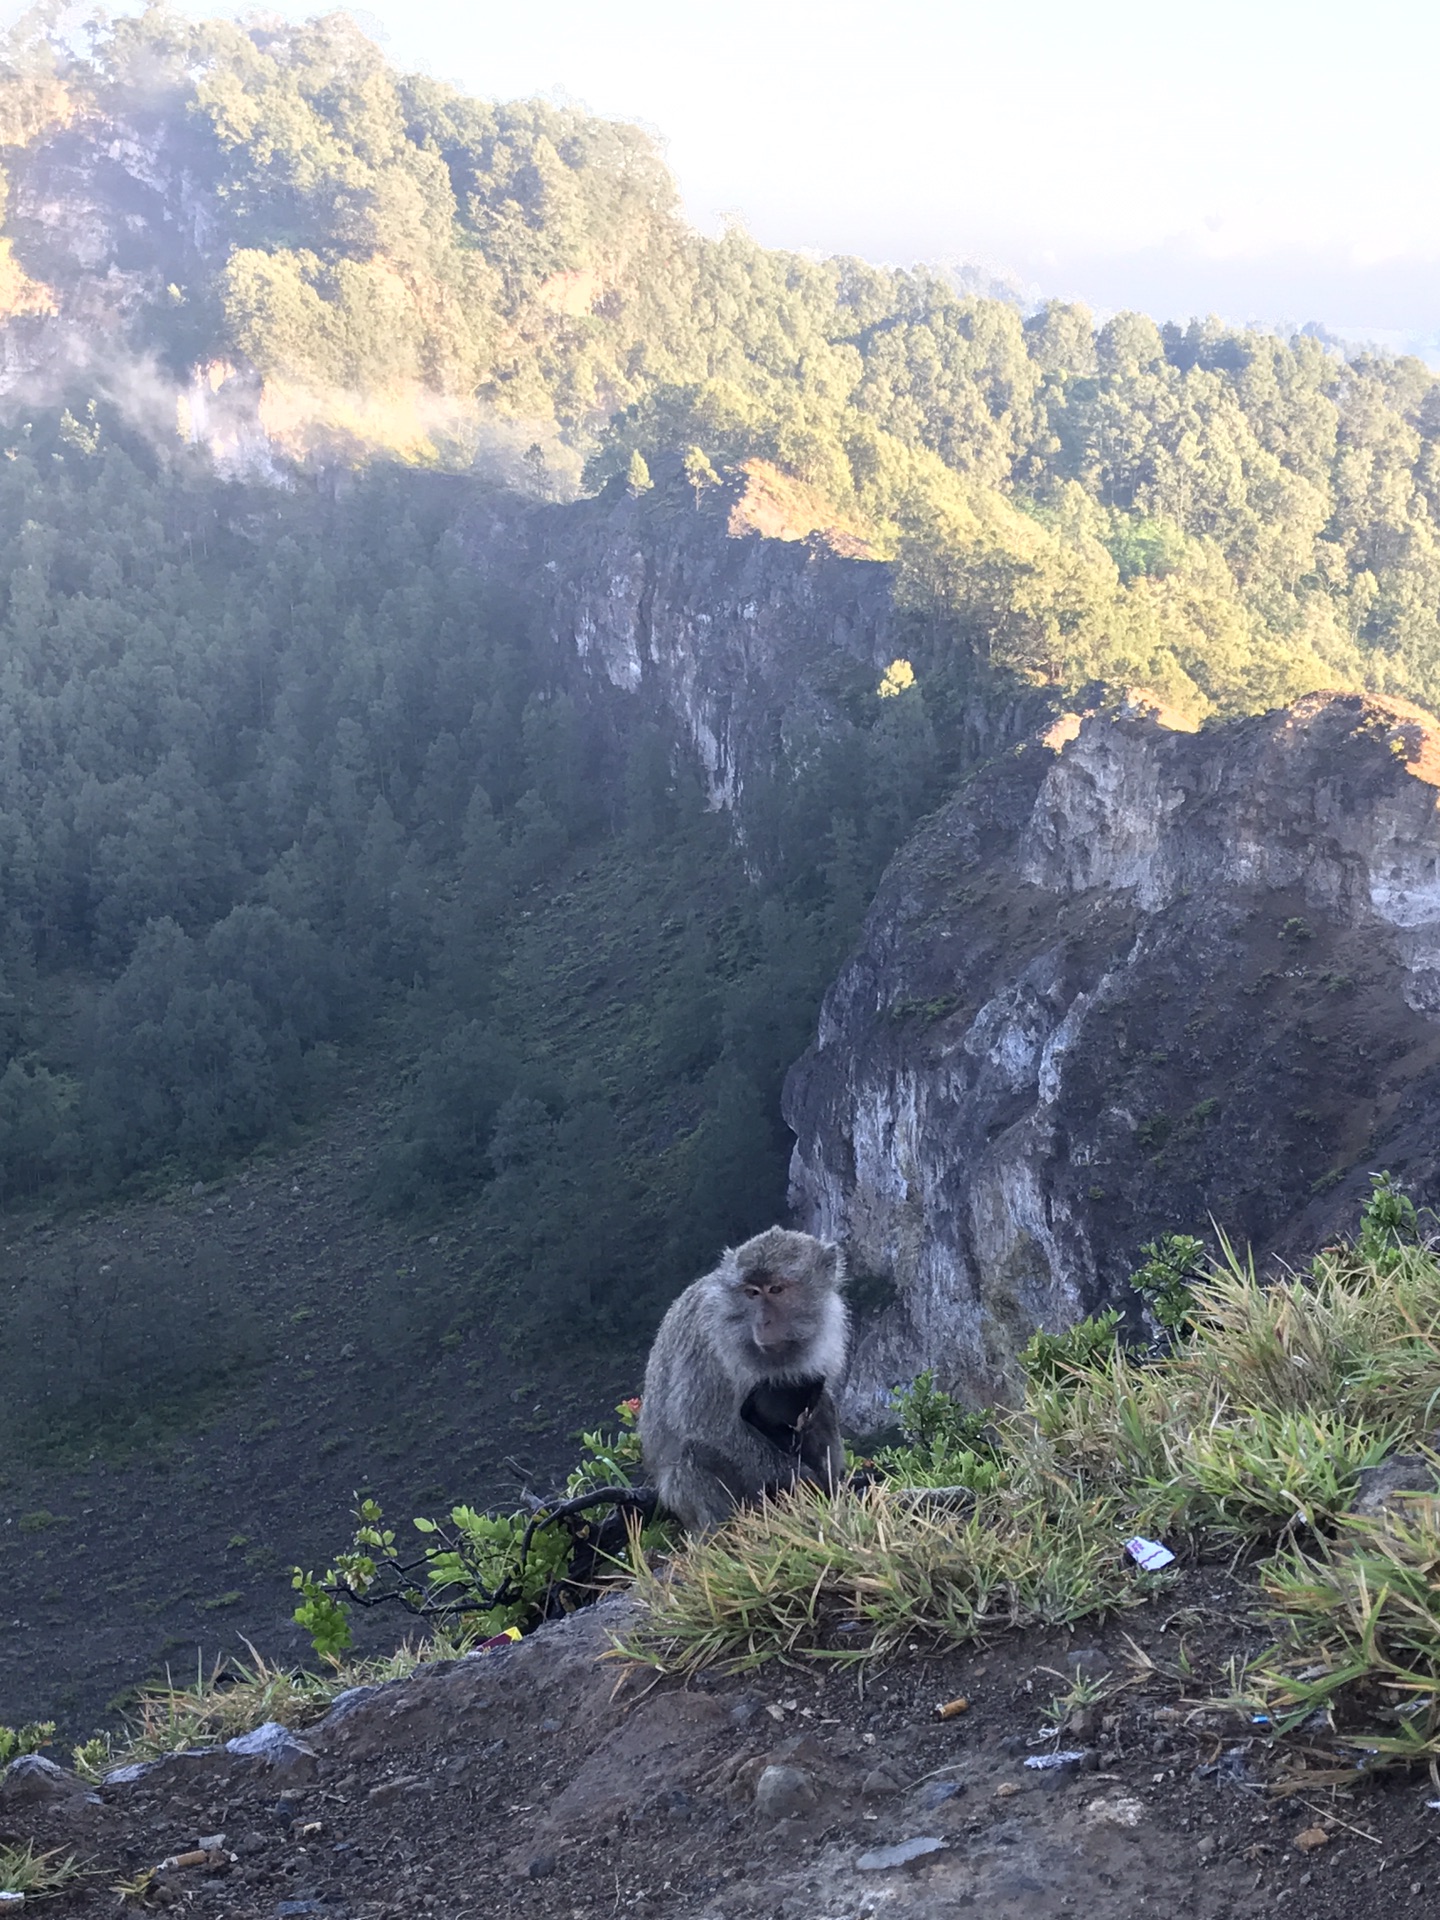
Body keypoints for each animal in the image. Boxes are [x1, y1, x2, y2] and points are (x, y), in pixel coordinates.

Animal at [641, 1228, 852, 1543]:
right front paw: (800, 1478)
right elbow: (707, 1424)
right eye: (752, 1293)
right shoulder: (713, 1340)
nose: (763, 1322)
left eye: (775, 1290)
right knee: (695, 1455)